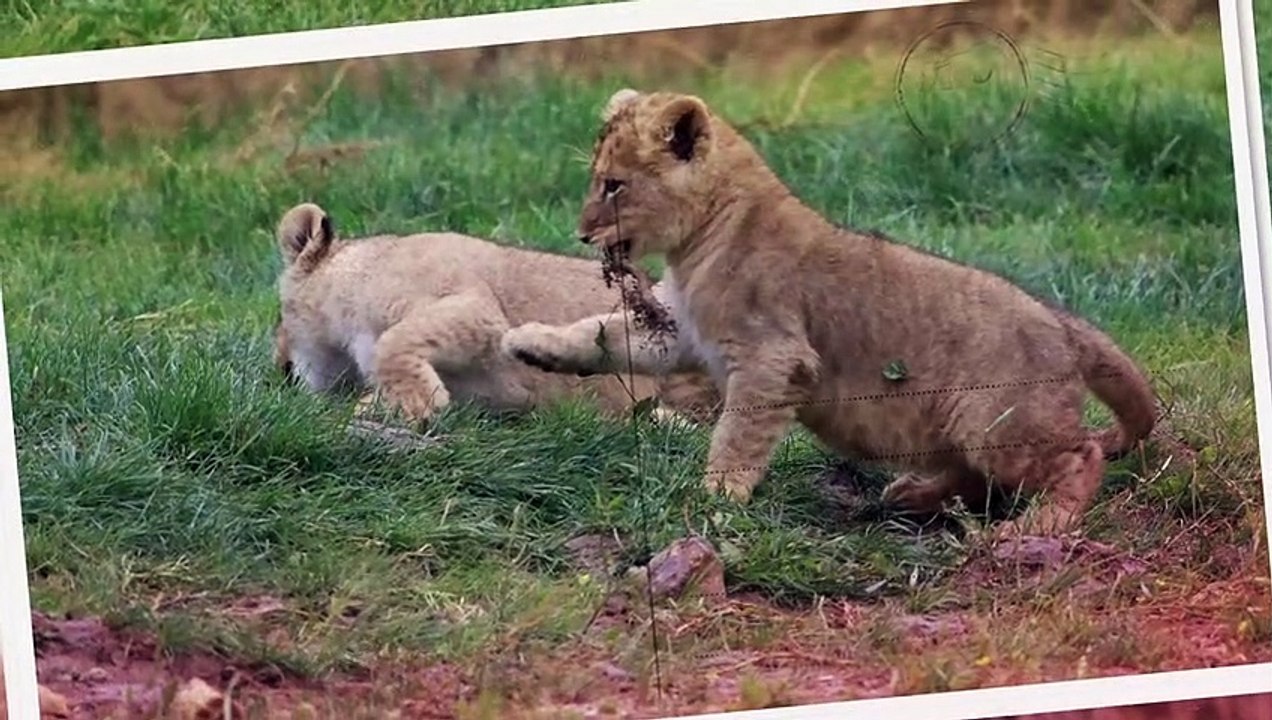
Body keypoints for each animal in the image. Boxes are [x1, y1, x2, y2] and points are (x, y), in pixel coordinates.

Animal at [501, 88, 1159, 536]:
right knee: (975, 476)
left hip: (994, 419)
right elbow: (603, 334)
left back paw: (1034, 528)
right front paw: (529, 343)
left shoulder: (773, 356)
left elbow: (736, 435)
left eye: (613, 185)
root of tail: (1064, 322)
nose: (582, 234)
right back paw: (911, 496)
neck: (698, 242)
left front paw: (715, 501)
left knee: (1080, 455)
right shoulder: (684, 333)